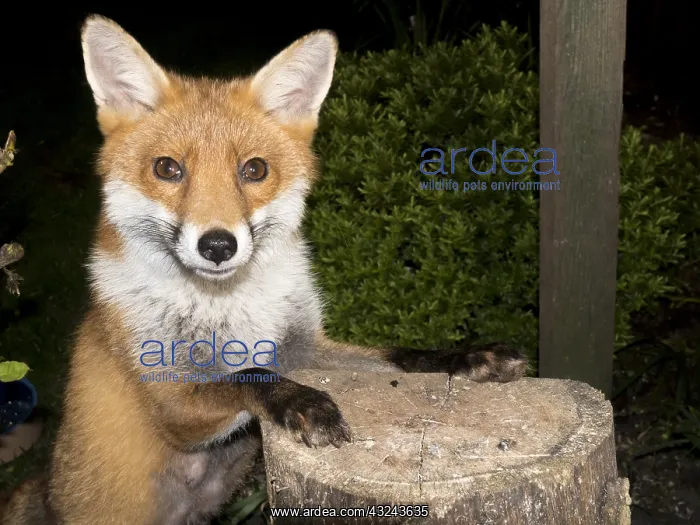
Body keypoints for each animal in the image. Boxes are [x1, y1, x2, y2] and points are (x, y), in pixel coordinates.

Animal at [0, 14, 528, 525]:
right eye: (167, 169)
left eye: (254, 170)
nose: (217, 245)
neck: (231, 305)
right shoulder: (169, 400)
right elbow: (249, 375)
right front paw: (305, 404)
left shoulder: (304, 347)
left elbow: (399, 355)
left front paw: (467, 356)